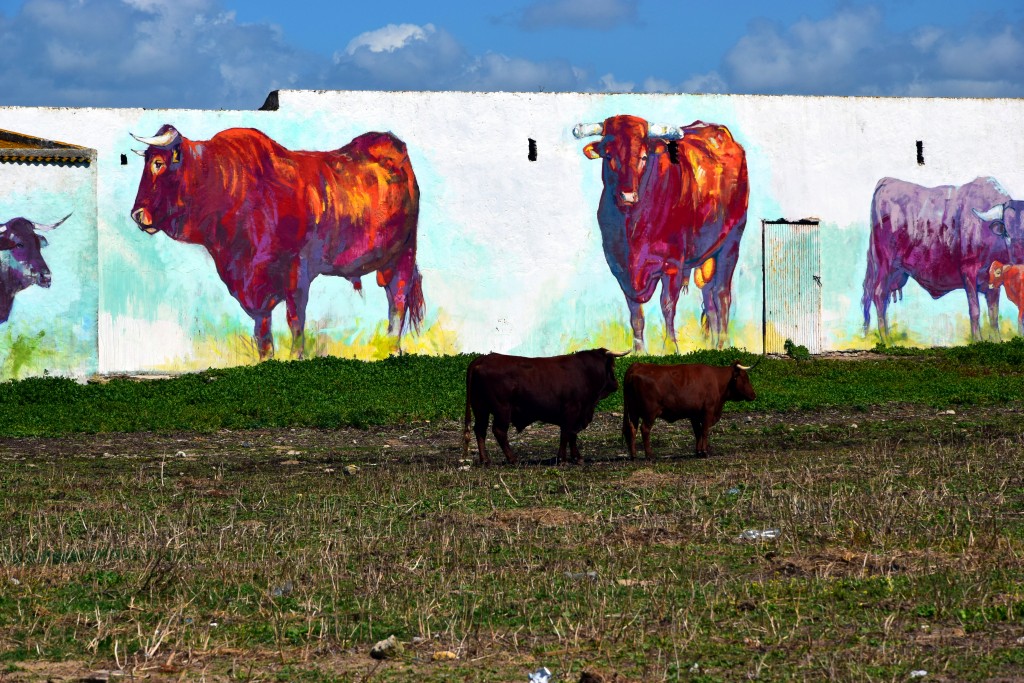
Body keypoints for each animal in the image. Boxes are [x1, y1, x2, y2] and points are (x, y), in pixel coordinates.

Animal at [462, 350, 622, 466]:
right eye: (613, 366)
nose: (616, 384)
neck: (585, 372)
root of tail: (483, 359)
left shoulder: (577, 415)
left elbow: (572, 435)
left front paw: (576, 458)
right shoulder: (572, 410)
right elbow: (566, 434)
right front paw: (562, 459)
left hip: (481, 408)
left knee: (480, 430)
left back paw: (485, 460)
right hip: (502, 409)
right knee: (499, 431)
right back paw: (513, 459)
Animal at [618, 362, 757, 458]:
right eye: (745, 378)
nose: (754, 395)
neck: (717, 381)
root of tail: (637, 365)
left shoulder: (694, 414)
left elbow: (698, 432)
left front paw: (698, 452)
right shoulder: (708, 410)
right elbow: (704, 431)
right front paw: (704, 452)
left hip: (633, 412)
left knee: (632, 429)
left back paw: (633, 455)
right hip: (649, 413)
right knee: (644, 429)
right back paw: (650, 455)